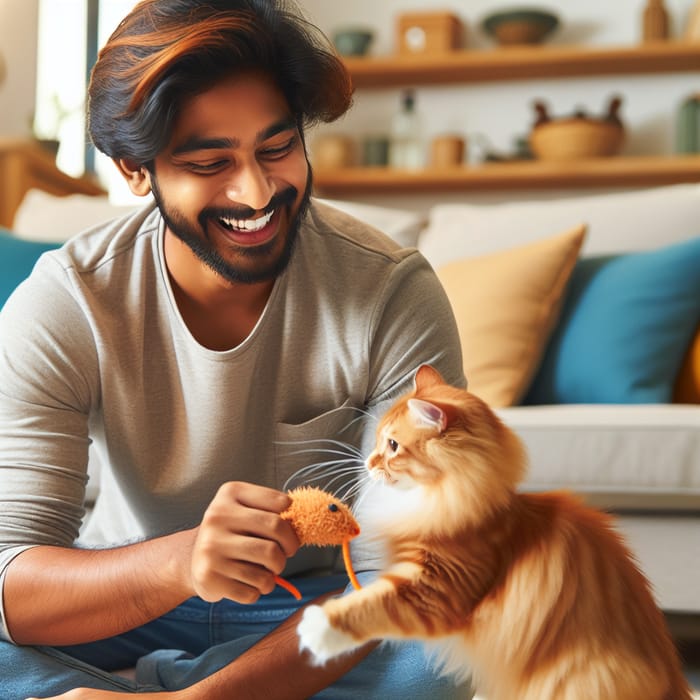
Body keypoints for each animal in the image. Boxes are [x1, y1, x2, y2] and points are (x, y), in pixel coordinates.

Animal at [296, 366, 688, 700]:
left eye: (392, 446)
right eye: (377, 441)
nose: (368, 462)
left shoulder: (438, 587)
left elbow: (369, 603)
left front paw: (317, 626)